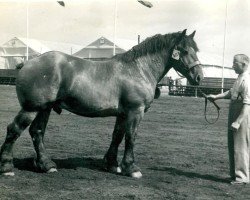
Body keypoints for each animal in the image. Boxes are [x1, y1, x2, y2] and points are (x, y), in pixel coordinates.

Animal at [0, 28, 203, 177]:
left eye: (196, 50)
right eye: (185, 51)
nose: (199, 77)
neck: (138, 69)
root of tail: (28, 62)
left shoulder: (123, 114)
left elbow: (117, 136)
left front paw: (112, 164)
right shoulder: (135, 111)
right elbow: (131, 137)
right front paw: (131, 168)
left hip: (45, 108)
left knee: (37, 132)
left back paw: (46, 164)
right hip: (32, 108)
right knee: (14, 130)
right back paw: (7, 167)